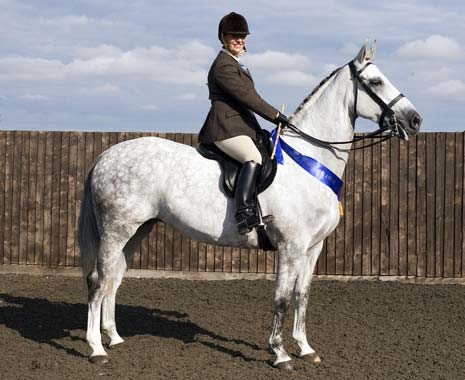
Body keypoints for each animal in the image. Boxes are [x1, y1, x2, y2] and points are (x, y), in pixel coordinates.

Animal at [79, 40, 420, 368]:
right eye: (375, 82)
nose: (414, 119)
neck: (310, 160)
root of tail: (104, 156)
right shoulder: (291, 246)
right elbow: (282, 299)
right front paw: (280, 354)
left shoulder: (313, 247)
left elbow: (302, 295)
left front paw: (305, 349)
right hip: (116, 230)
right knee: (98, 280)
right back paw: (97, 349)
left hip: (139, 229)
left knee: (114, 278)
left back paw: (114, 337)